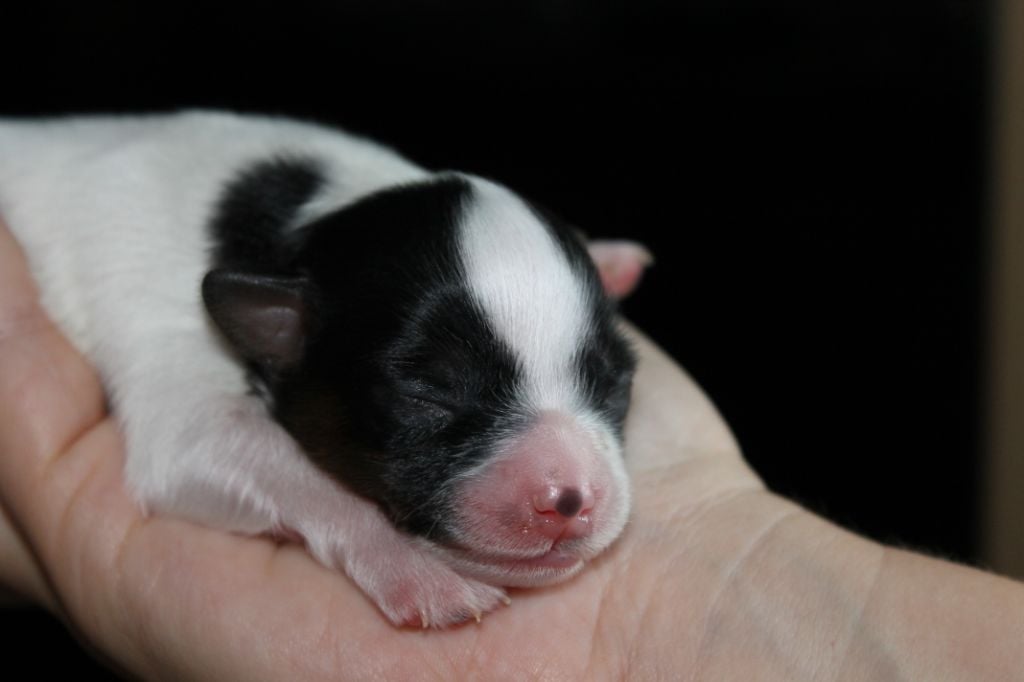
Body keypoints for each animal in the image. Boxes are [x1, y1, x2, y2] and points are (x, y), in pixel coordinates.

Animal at [0, 111, 647, 626]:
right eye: (428, 390)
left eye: (612, 381)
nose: (571, 499)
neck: (304, 227)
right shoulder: (177, 368)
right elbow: (293, 473)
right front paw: (417, 569)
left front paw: (608, 256)